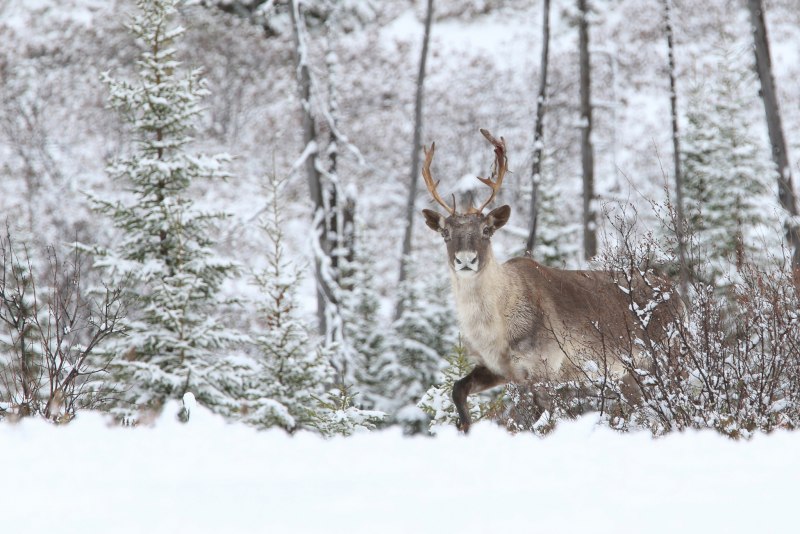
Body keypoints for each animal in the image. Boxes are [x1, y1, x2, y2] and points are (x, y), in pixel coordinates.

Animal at [421, 129, 681, 432]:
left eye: (486, 230)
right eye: (445, 233)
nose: (466, 260)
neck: (497, 329)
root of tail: (680, 297)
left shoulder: (544, 367)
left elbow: (540, 419)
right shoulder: (501, 368)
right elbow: (457, 388)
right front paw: (464, 426)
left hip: (667, 355)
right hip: (630, 373)